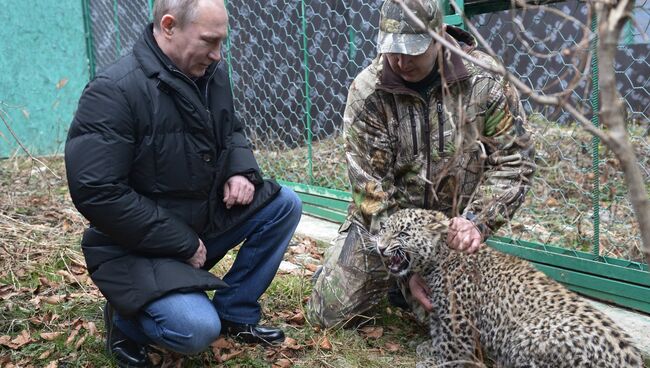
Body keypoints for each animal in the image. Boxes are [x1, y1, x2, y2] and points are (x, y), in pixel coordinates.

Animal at [374, 208, 644, 368]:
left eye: (403, 233)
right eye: (384, 229)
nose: (380, 247)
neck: (439, 257)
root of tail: (629, 359)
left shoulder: (458, 316)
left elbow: (452, 345)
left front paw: (438, 362)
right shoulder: (441, 308)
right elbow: (439, 332)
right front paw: (430, 349)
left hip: (529, 335)